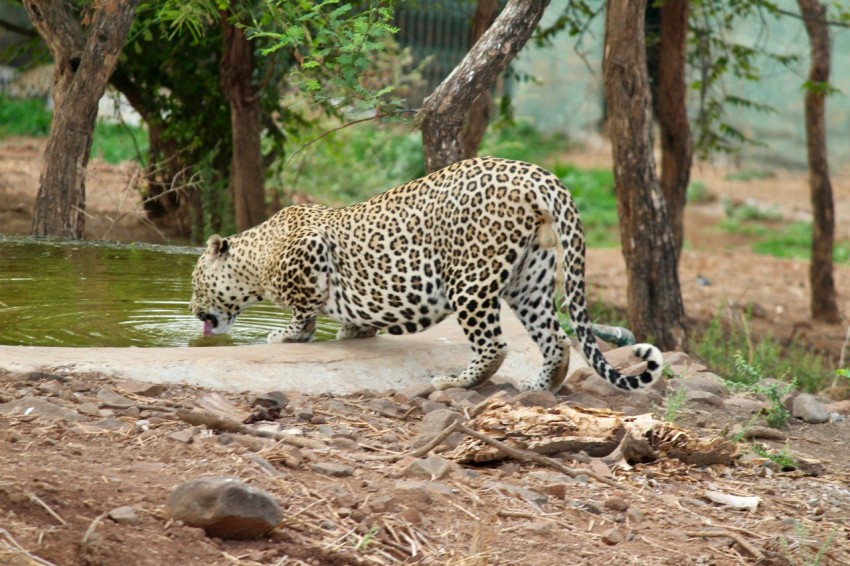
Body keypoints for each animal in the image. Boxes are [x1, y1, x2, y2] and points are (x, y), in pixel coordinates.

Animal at [190, 158, 664, 392]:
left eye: (195, 283)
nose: (193, 308)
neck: (256, 257)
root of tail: (540, 175)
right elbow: (351, 319)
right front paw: (351, 333)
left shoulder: (310, 254)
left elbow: (303, 311)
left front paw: (285, 336)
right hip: (529, 279)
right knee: (556, 339)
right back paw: (540, 386)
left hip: (470, 279)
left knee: (494, 344)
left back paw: (457, 381)